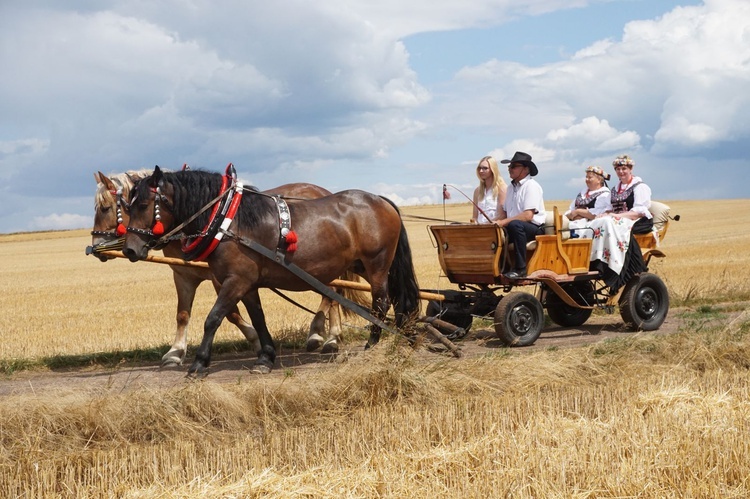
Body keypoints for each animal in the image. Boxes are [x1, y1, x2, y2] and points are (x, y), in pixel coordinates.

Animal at [120, 166, 420, 376]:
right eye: (127, 205)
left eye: (144, 205)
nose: (130, 250)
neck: (228, 221)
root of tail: (380, 199)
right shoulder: (248, 284)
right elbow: (258, 318)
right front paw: (265, 357)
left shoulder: (236, 280)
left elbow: (213, 318)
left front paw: (199, 364)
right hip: (363, 265)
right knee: (394, 300)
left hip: (377, 263)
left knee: (381, 303)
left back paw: (372, 345)